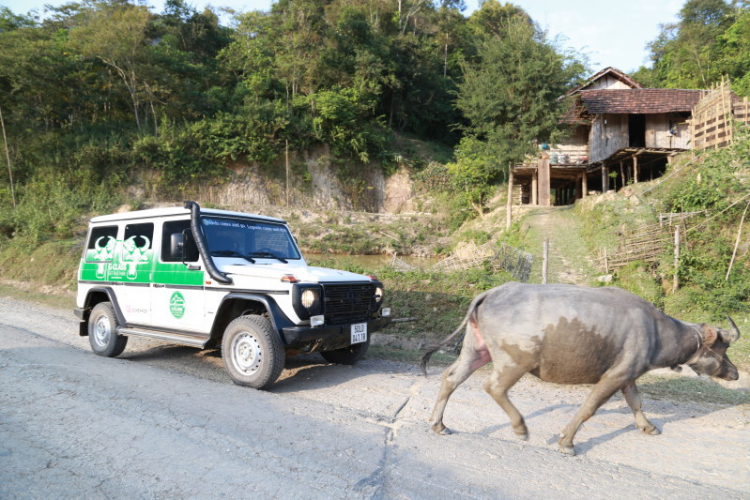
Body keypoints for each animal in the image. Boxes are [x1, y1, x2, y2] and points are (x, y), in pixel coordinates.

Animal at [420, 284, 744, 456]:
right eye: (723, 347)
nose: (735, 373)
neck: (656, 332)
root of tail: (493, 292)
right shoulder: (614, 376)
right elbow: (589, 408)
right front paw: (567, 441)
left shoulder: (628, 375)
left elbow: (636, 403)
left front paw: (649, 426)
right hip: (515, 361)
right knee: (494, 387)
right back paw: (521, 428)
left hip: (476, 350)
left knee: (451, 378)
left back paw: (438, 424)